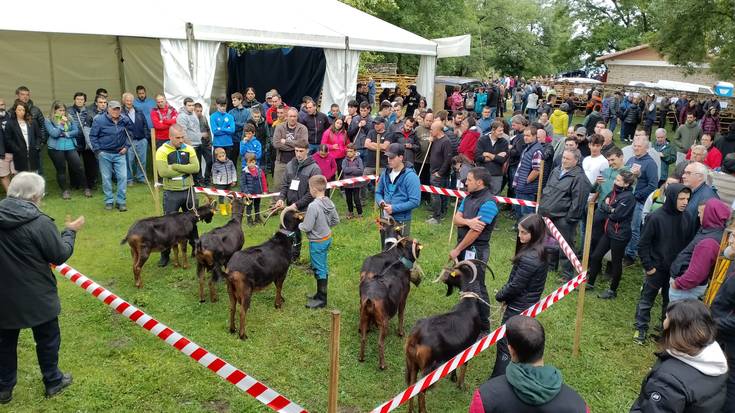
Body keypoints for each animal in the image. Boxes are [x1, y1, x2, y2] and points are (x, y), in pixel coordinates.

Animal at [226, 208, 304, 340]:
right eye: (296, 212)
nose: (305, 212)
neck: (283, 240)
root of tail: (232, 271)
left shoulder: (274, 275)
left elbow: (277, 288)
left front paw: (281, 299)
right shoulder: (282, 273)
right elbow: (279, 287)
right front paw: (278, 305)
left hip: (231, 291)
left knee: (232, 308)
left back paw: (232, 329)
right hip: (246, 291)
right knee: (242, 311)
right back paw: (243, 335)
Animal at [360, 237, 422, 368]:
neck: (401, 263)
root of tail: (370, 300)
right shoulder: (403, 300)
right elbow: (401, 316)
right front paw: (400, 333)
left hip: (364, 319)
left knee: (363, 339)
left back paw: (361, 358)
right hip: (383, 323)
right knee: (380, 343)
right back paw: (382, 365)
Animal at [406, 260, 492, 412]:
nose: (442, 276)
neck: (468, 303)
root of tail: (416, 336)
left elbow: (455, 362)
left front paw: (453, 378)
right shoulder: (469, 345)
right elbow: (464, 364)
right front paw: (461, 385)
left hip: (412, 364)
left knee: (411, 387)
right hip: (427, 366)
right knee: (421, 391)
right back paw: (423, 410)